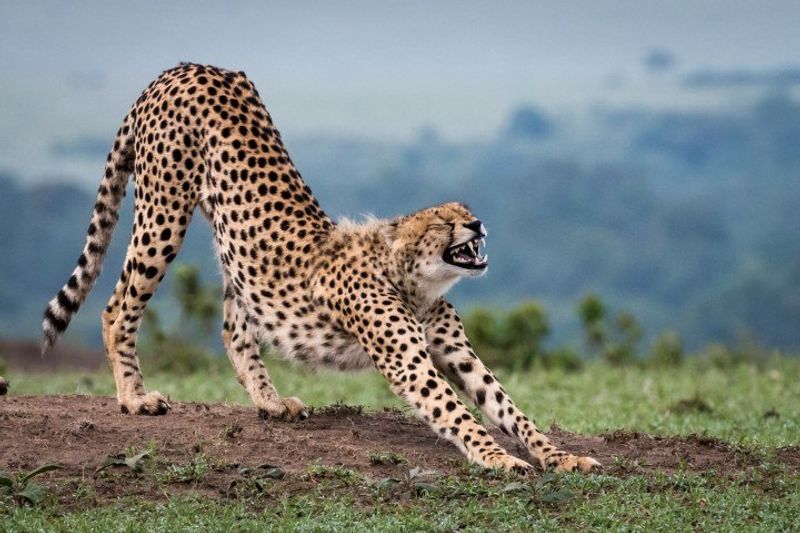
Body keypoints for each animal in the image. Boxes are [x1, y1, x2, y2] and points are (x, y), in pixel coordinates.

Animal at [42, 63, 599, 473]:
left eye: (467, 210)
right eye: (446, 219)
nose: (478, 224)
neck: (415, 281)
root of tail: (186, 66)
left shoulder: (457, 354)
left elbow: (508, 408)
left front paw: (561, 457)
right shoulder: (409, 361)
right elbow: (457, 412)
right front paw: (497, 459)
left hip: (230, 247)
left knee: (233, 327)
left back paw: (268, 402)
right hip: (164, 209)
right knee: (117, 307)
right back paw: (134, 398)